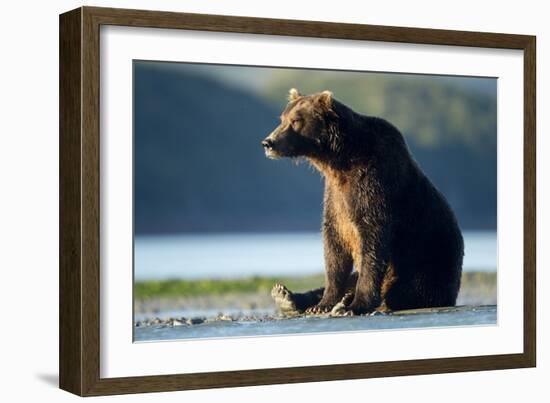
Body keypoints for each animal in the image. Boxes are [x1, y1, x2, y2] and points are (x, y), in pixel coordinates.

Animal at [264, 88, 466, 316]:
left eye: (296, 120)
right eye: (282, 118)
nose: (268, 142)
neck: (338, 161)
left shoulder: (373, 183)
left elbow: (372, 239)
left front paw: (356, 305)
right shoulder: (335, 197)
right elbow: (334, 247)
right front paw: (323, 304)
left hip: (430, 261)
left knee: (409, 289)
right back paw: (286, 296)